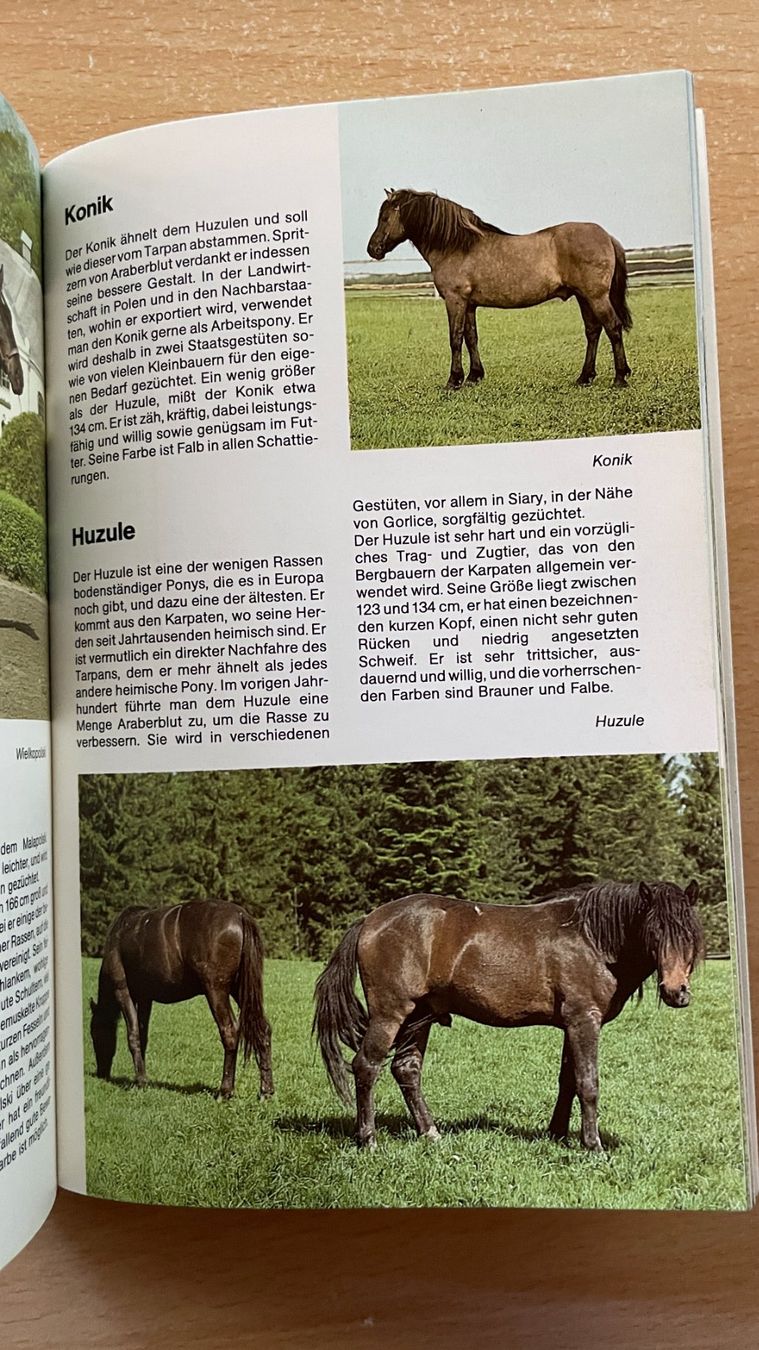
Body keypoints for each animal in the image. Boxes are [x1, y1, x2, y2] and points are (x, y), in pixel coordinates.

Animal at [90, 899, 274, 1100]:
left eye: (93, 1034)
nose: (101, 1073)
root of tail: (241, 915)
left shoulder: (123, 991)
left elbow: (133, 1035)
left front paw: (140, 1081)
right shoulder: (146, 998)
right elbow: (143, 1035)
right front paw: (143, 1077)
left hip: (216, 990)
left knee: (230, 1032)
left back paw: (225, 1091)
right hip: (240, 990)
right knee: (263, 1030)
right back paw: (266, 1091)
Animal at [314, 881, 702, 1151]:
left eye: (689, 933)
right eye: (654, 931)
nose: (676, 991)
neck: (592, 939)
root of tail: (369, 920)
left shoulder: (570, 1025)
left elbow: (568, 1081)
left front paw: (557, 1134)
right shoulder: (584, 1020)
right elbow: (588, 1084)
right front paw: (592, 1145)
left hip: (418, 1016)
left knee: (406, 1069)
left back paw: (431, 1133)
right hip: (390, 1014)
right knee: (366, 1066)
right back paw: (368, 1138)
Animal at [366, 189, 632, 392]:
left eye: (385, 217)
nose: (373, 249)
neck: (457, 246)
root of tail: (607, 236)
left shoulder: (455, 300)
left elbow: (455, 338)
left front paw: (454, 380)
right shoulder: (469, 304)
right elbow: (471, 338)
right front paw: (474, 376)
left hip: (596, 297)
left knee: (613, 328)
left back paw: (620, 377)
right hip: (583, 297)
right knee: (593, 331)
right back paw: (585, 377)